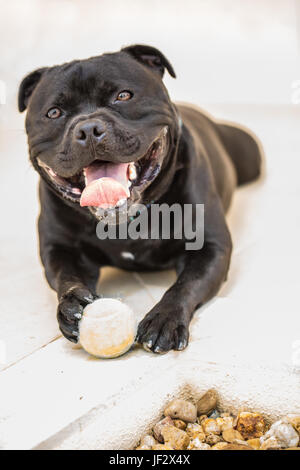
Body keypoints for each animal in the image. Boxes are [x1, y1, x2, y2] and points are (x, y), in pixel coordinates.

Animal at [18, 45, 262, 352]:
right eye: (54, 113)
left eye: (123, 96)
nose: (88, 129)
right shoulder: (60, 249)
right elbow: (66, 277)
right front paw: (72, 305)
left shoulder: (210, 247)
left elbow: (187, 283)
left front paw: (164, 318)